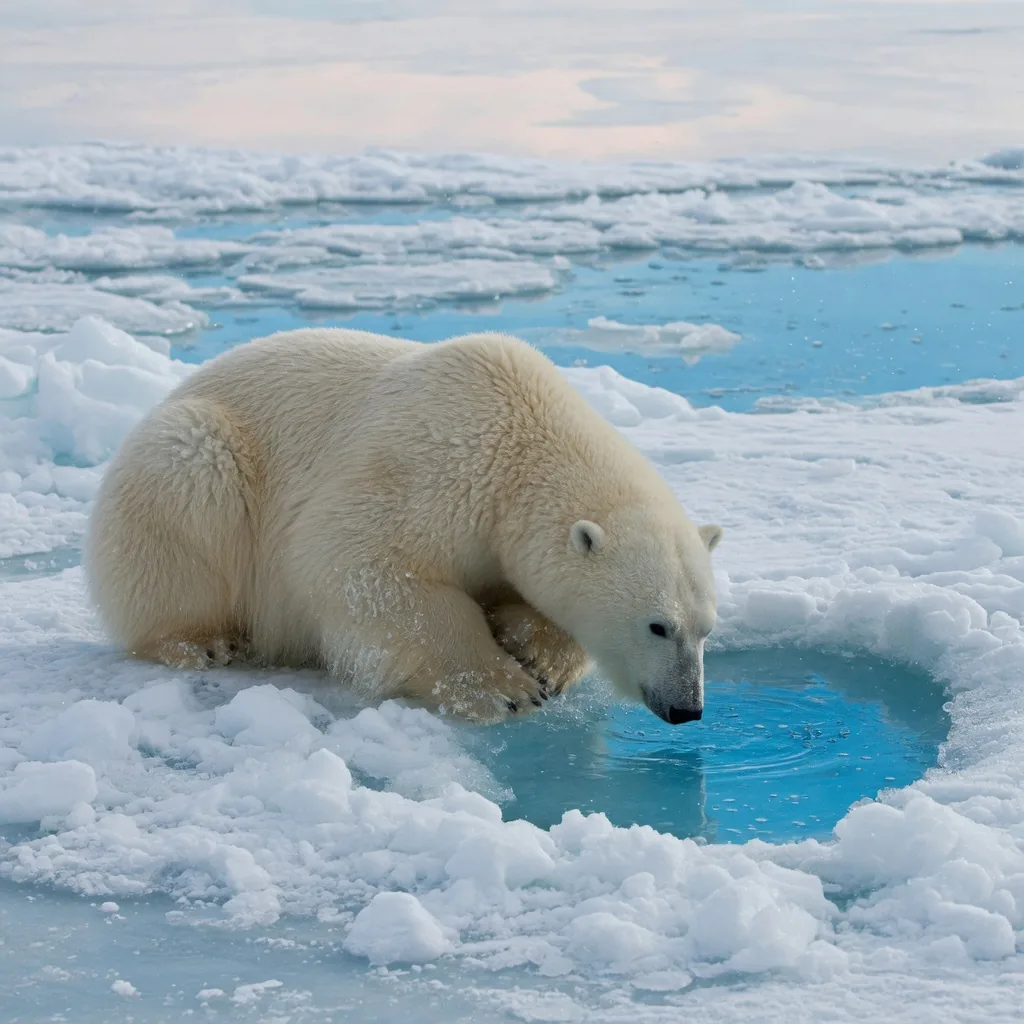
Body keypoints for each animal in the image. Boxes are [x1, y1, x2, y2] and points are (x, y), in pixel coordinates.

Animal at [86, 328, 723, 724]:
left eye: (706, 629)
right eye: (657, 626)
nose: (687, 709)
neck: (520, 436)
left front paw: (539, 656)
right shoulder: (434, 466)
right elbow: (361, 563)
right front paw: (503, 688)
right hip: (194, 455)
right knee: (190, 481)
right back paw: (202, 640)